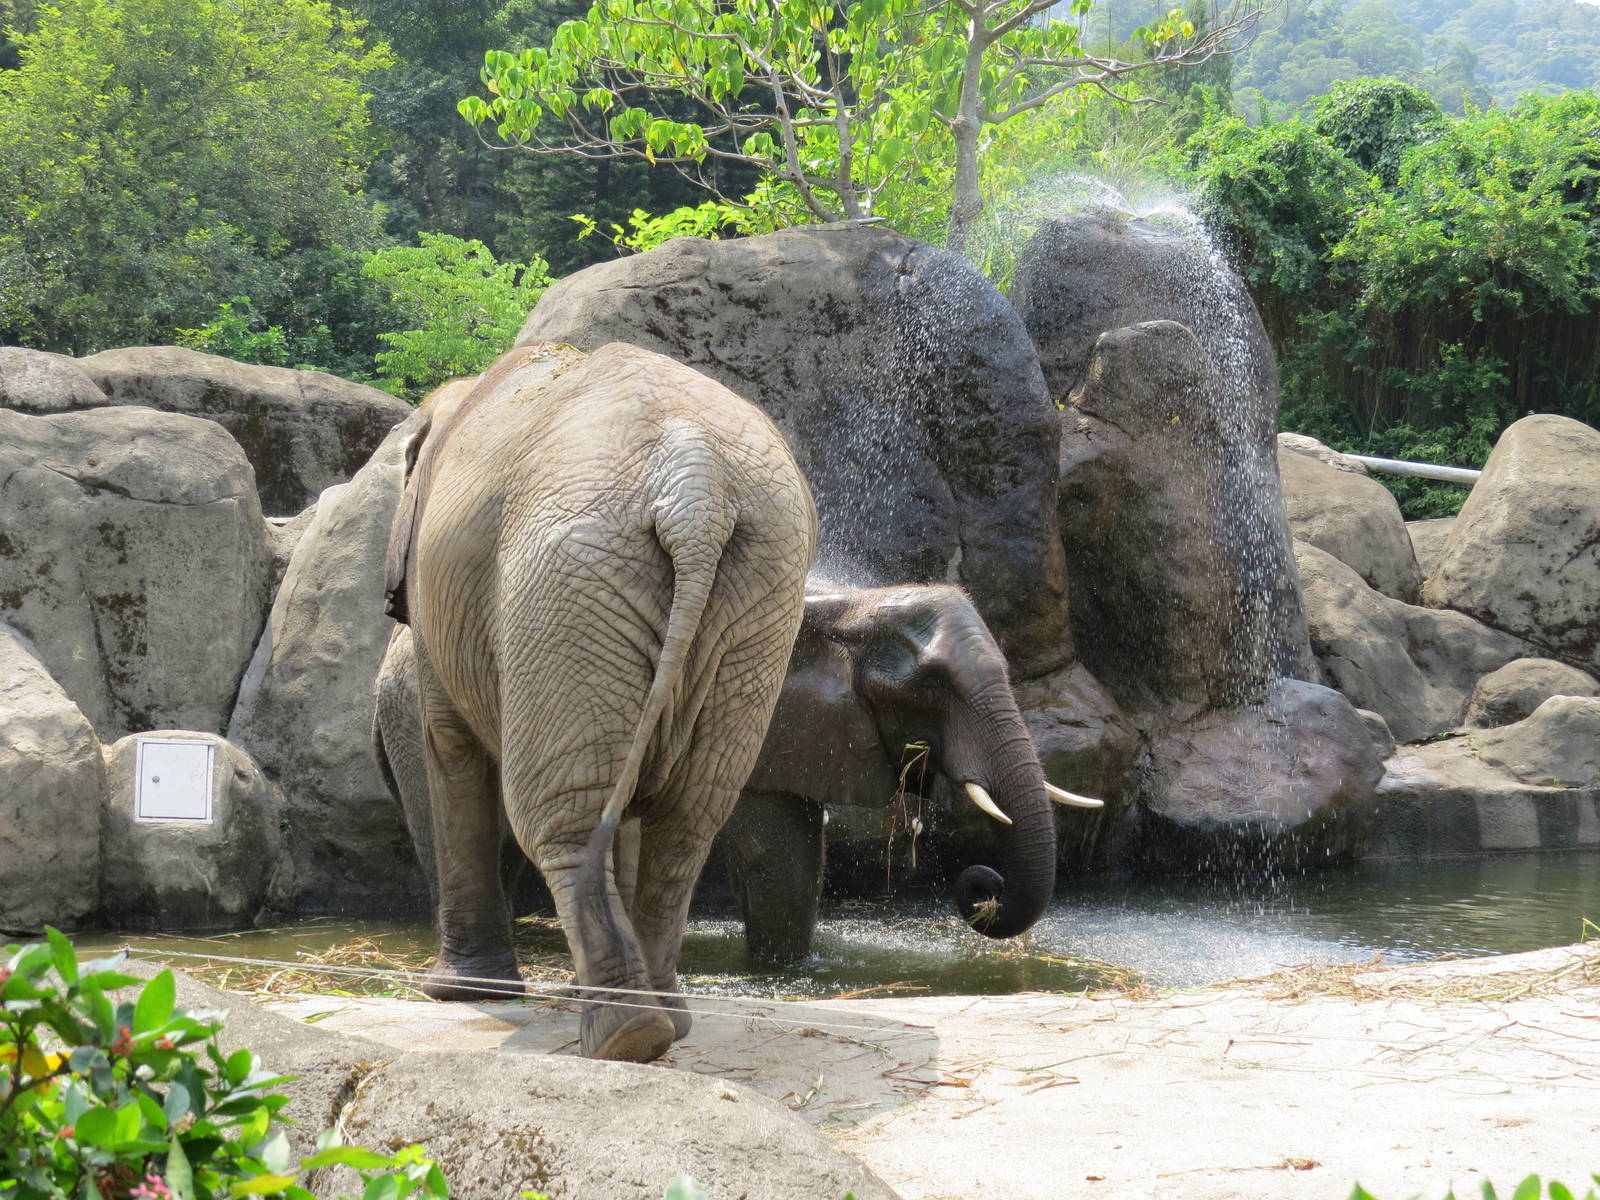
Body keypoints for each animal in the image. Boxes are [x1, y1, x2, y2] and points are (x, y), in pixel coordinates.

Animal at [382, 340, 816, 1063]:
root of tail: (696, 486)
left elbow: (450, 746)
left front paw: (457, 995)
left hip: (566, 576)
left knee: (565, 813)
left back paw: (621, 1034)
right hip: (758, 595)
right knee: (686, 815)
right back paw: (662, 1021)